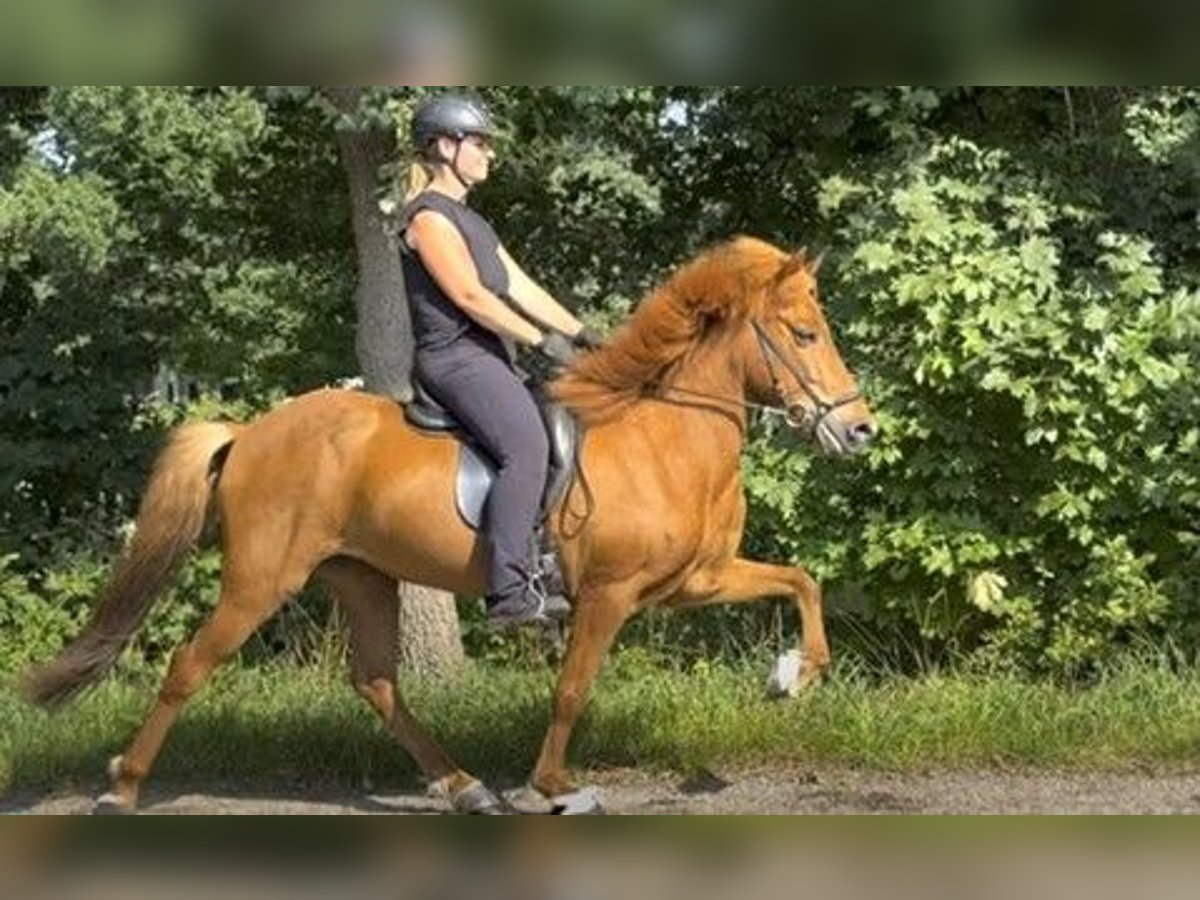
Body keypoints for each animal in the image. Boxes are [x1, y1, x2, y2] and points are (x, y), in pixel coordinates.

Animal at [18, 236, 878, 816]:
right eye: (804, 334)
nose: (859, 430)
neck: (663, 433)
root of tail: (249, 432)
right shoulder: (609, 595)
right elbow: (572, 688)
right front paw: (555, 786)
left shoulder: (692, 581)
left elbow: (802, 580)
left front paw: (793, 676)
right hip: (262, 580)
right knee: (190, 666)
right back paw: (123, 787)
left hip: (361, 576)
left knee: (374, 681)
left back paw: (463, 785)